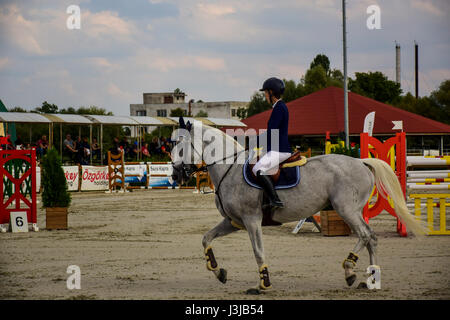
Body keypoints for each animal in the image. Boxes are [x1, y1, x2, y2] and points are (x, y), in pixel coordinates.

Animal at [171, 121, 424, 294]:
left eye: (181, 149)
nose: (175, 176)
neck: (228, 167)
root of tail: (361, 162)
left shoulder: (252, 220)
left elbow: (258, 251)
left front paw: (263, 284)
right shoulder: (234, 222)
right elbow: (206, 238)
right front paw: (218, 271)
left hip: (346, 210)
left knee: (365, 235)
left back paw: (350, 271)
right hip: (351, 211)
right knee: (371, 237)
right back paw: (371, 278)